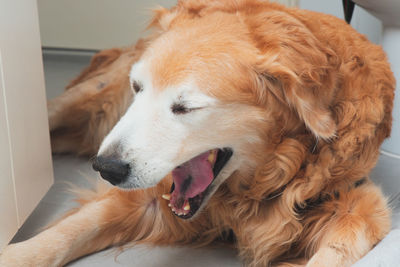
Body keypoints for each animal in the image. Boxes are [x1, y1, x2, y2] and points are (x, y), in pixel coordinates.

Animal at [0, 0, 396, 266]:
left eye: (185, 108)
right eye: (137, 88)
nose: (106, 168)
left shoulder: (356, 203)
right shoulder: (146, 196)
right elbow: (63, 234)